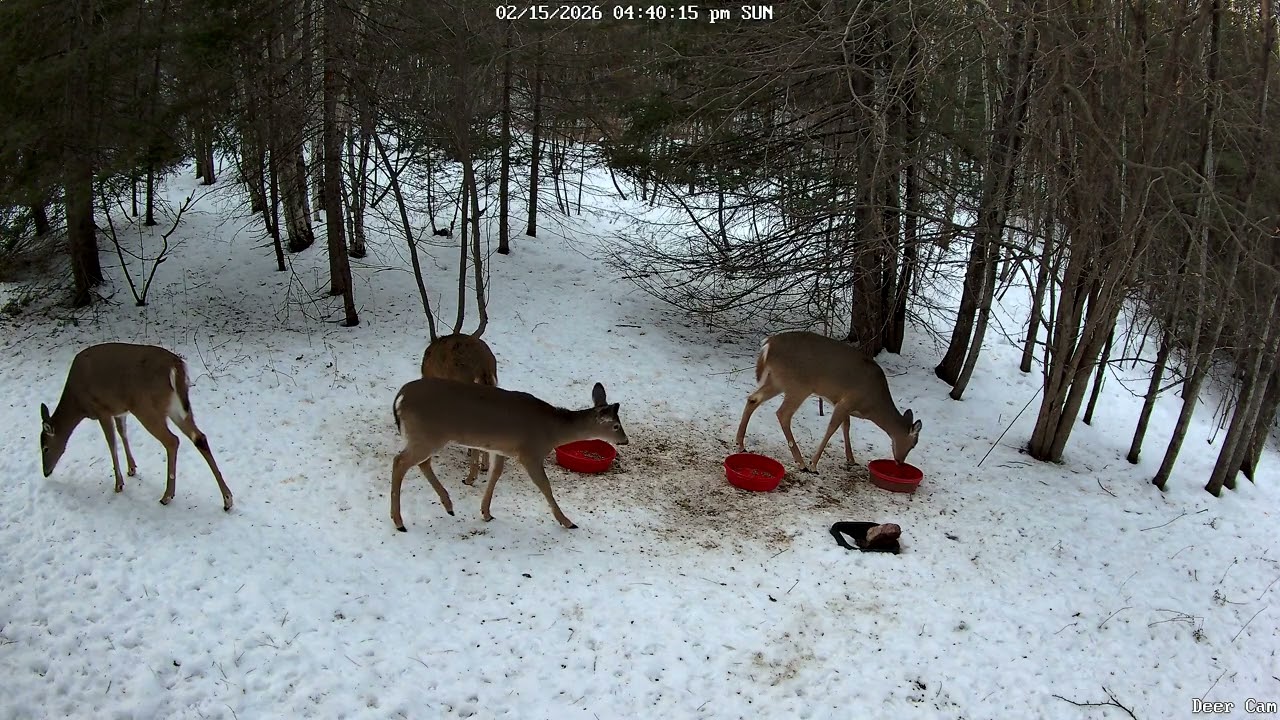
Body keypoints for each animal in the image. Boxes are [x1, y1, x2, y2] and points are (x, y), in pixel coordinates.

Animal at [38, 342, 233, 511]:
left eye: (45, 448)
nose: (45, 473)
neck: (78, 403)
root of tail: (176, 367)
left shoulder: (102, 409)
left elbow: (111, 443)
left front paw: (118, 484)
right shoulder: (119, 410)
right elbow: (122, 432)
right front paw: (131, 468)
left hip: (146, 407)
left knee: (172, 441)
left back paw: (167, 496)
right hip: (176, 407)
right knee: (199, 437)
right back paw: (227, 499)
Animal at [390, 379, 628, 531]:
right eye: (616, 426)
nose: (625, 440)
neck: (552, 431)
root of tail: (400, 397)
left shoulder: (501, 449)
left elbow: (496, 474)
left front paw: (486, 513)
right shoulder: (530, 452)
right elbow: (545, 486)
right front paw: (567, 522)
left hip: (426, 437)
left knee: (422, 463)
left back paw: (448, 506)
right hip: (428, 435)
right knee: (399, 462)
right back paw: (399, 522)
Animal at [735, 331, 923, 473]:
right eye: (914, 444)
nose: (900, 462)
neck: (872, 405)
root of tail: (768, 344)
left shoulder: (841, 402)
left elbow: (846, 426)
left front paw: (851, 459)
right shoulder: (849, 400)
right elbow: (833, 427)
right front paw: (814, 464)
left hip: (777, 381)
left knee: (753, 399)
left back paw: (740, 444)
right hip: (798, 385)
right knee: (783, 414)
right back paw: (801, 462)